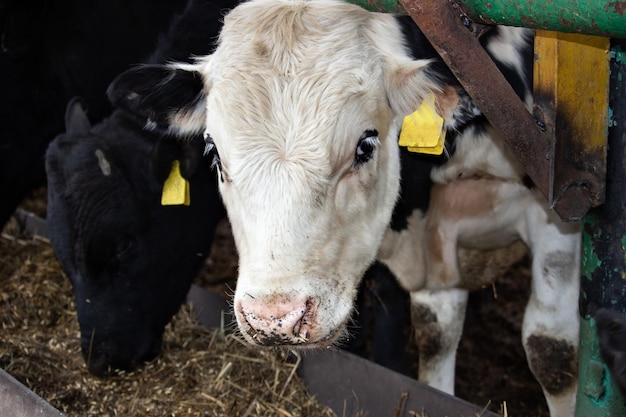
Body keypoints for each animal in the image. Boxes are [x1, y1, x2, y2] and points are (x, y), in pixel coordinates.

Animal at [106, 1, 580, 414]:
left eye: (365, 146)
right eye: (214, 153)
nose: (274, 319)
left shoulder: (558, 211)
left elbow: (552, 353)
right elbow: (436, 335)